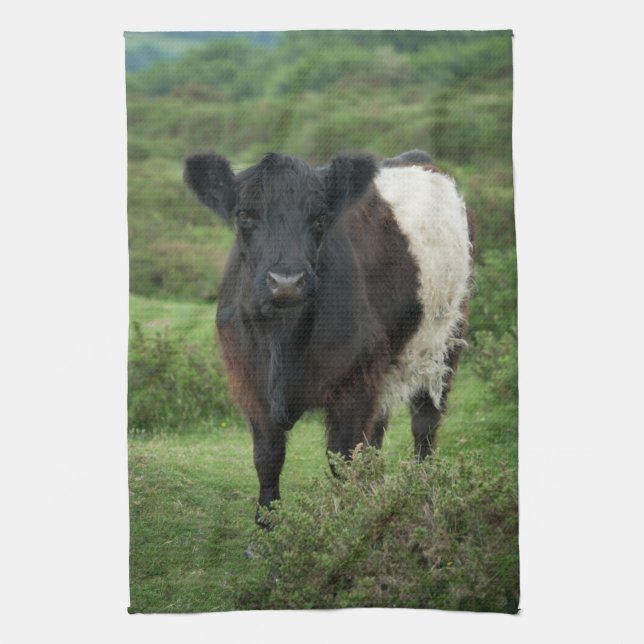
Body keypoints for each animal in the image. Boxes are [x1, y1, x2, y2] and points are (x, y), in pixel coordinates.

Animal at [183, 150, 473, 524]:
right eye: (244, 215)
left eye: (320, 217)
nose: (287, 281)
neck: (283, 336)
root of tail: (417, 158)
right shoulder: (249, 381)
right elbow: (267, 455)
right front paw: (267, 525)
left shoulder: (355, 381)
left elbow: (343, 458)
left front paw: (348, 523)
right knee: (378, 432)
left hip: (444, 342)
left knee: (425, 422)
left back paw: (423, 489)